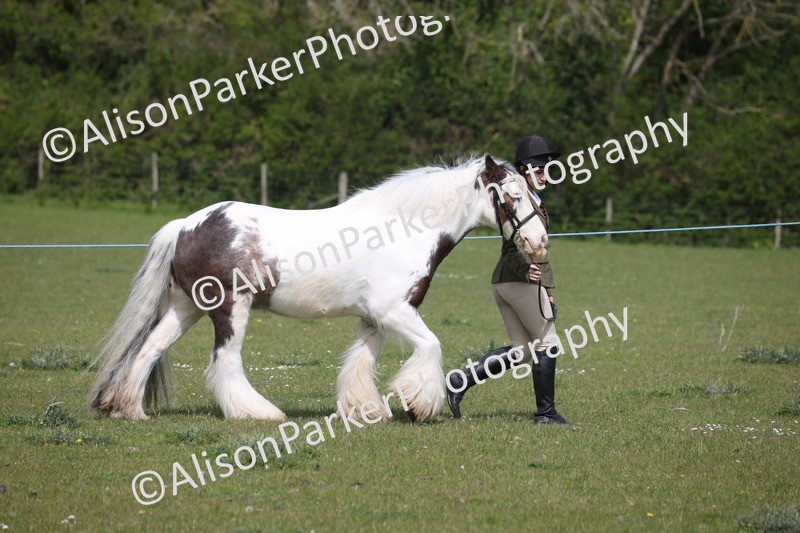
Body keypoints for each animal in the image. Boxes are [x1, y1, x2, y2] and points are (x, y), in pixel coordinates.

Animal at [89, 154, 549, 423]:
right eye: (510, 195)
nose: (539, 242)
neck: (403, 229)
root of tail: (185, 225)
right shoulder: (395, 311)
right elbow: (431, 346)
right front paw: (419, 402)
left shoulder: (374, 319)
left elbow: (360, 363)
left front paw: (364, 411)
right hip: (229, 309)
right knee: (226, 361)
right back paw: (257, 413)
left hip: (185, 308)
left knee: (148, 349)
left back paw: (130, 410)